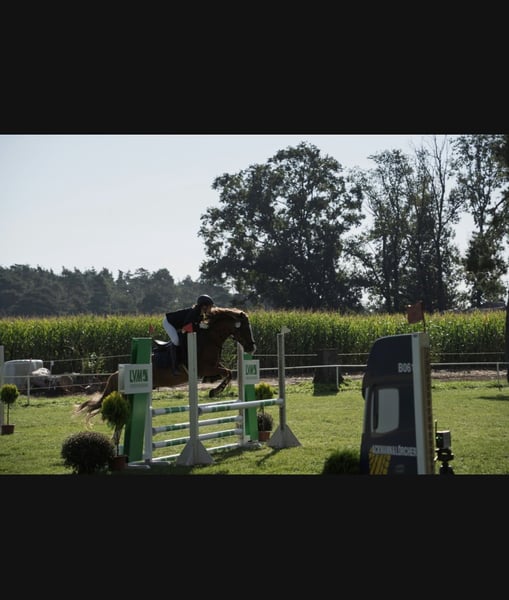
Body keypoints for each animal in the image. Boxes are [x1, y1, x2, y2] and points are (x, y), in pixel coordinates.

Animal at [74, 307, 256, 421]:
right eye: (244, 328)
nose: (252, 347)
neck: (209, 338)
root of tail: (115, 374)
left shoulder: (212, 368)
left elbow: (227, 373)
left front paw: (214, 387)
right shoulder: (205, 368)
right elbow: (228, 373)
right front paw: (214, 391)